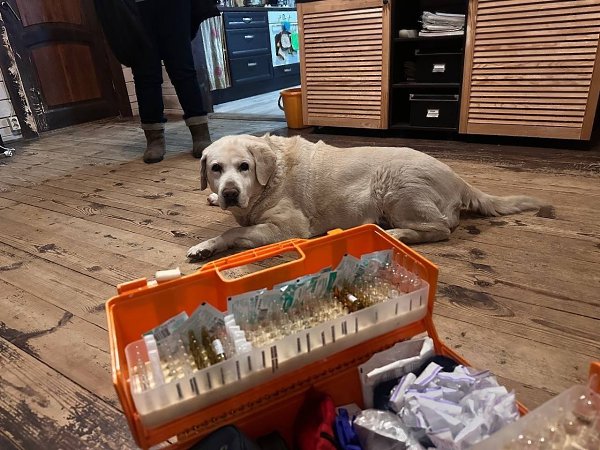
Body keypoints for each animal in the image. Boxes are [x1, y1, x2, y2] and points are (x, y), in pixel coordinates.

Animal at [187, 134, 547, 260]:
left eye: (244, 166)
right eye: (216, 168)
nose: (230, 193)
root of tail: (459, 179)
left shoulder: (287, 228)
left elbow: (234, 229)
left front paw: (207, 245)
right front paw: (213, 202)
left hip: (393, 184)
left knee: (441, 229)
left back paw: (398, 234)